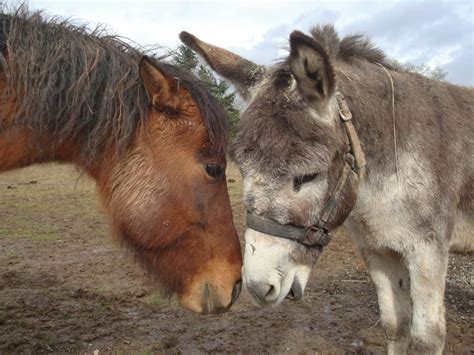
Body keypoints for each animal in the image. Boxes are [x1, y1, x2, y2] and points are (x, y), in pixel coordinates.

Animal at [181, 25, 474, 354]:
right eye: (242, 170)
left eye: (308, 176)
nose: (258, 287)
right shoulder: (378, 250)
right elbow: (394, 324)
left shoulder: (428, 250)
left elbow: (427, 337)